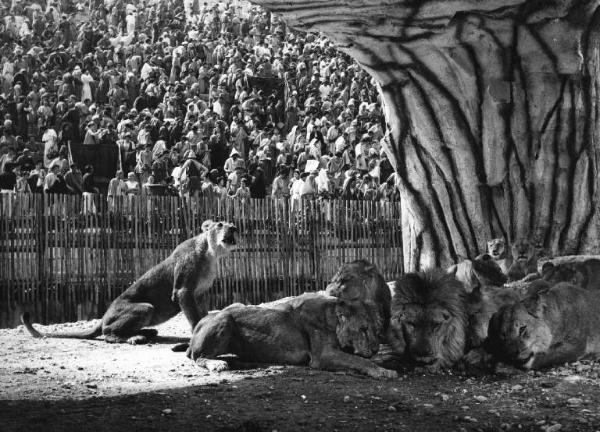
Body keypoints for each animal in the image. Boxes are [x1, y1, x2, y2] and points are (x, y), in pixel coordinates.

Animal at [185, 292, 396, 380]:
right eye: (363, 329)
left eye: (376, 330)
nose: (375, 348)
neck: (332, 319)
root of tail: (200, 323)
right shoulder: (322, 355)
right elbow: (360, 361)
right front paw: (384, 371)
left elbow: (361, 358)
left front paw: (383, 360)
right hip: (225, 318)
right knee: (198, 357)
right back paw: (218, 364)